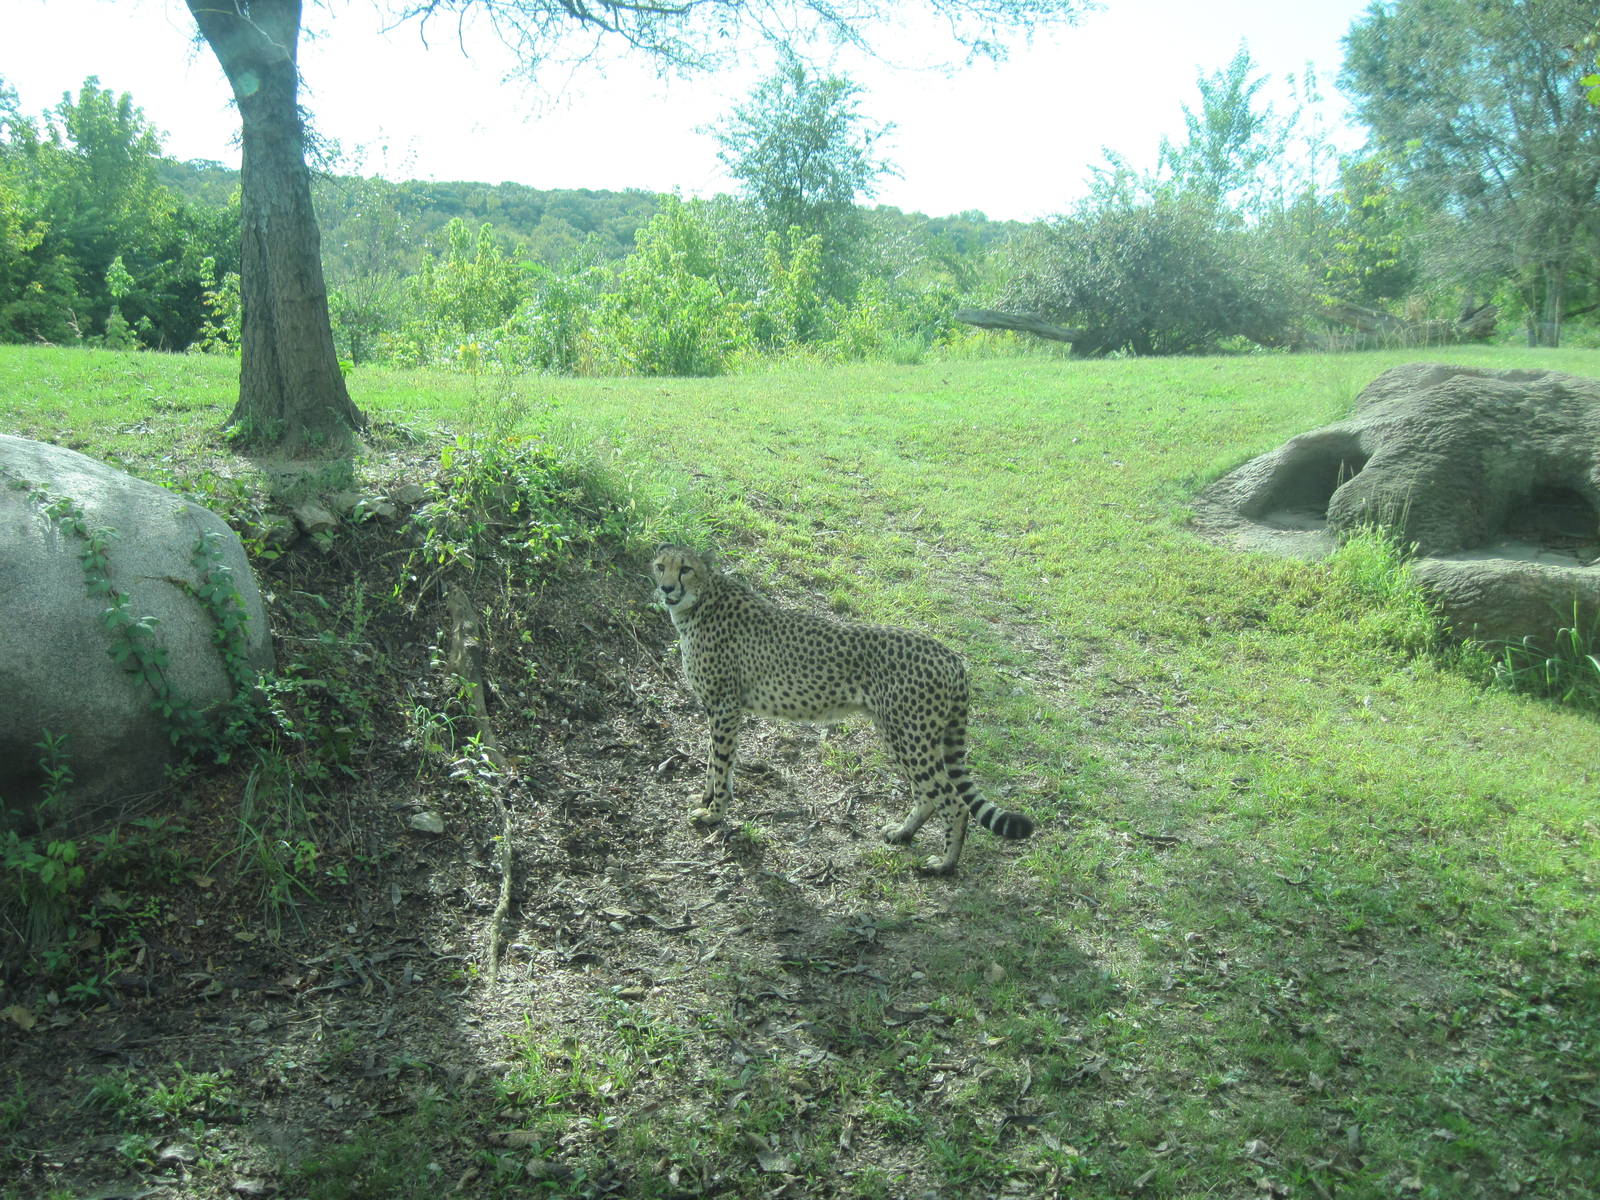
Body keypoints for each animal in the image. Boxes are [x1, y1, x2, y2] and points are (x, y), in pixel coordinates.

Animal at [650, 545, 1034, 874]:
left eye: (685, 569)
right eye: (660, 566)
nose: (667, 588)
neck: (701, 601)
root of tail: (952, 657)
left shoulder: (725, 707)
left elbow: (719, 763)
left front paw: (714, 814)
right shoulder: (720, 708)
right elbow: (717, 763)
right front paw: (707, 798)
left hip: (910, 736)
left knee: (953, 802)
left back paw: (944, 864)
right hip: (898, 732)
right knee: (927, 794)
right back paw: (903, 834)